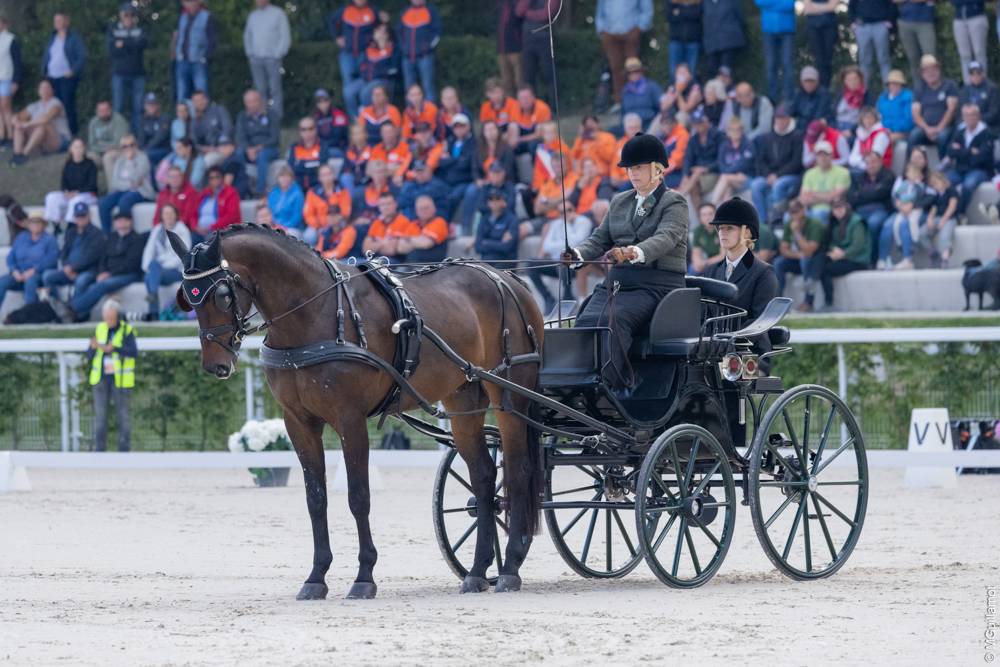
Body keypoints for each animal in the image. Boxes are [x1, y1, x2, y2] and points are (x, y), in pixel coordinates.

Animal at [166, 224, 545, 599]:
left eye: (222, 296)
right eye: (187, 296)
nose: (217, 365)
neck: (313, 311)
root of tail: (508, 278)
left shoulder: (350, 419)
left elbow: (358, 496)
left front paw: (364, 577)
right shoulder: (298, 422)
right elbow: (316, 499)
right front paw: (316, 577)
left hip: (509, 395)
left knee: (518, 470)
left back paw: (510, 567)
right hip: (463, 399)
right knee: (484, 477)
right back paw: (478, 572)